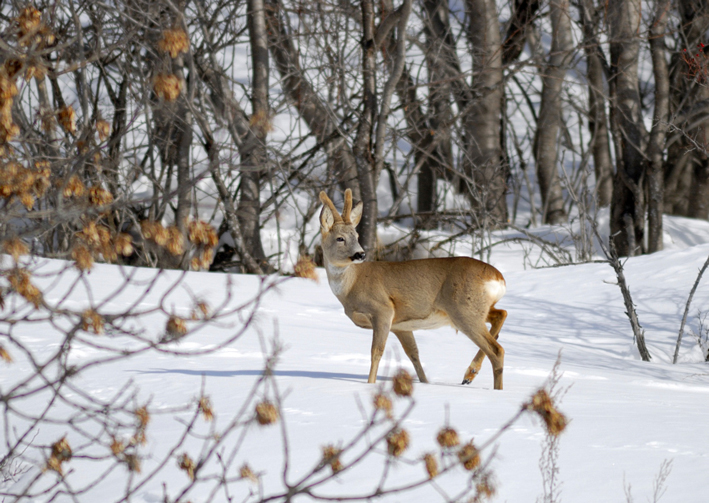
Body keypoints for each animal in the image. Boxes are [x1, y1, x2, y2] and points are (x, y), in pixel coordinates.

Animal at [318, 191, 506, 392]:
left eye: (357, 235)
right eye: (340, 238)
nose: (360, 254)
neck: (352, 284)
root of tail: (498, 278)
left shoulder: (383, 310)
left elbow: (376, 351)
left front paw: (370, 385)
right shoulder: (401, 326)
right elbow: (414, 354)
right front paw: (424, 382)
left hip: (464, 310)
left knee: (497, 350)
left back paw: (494, 389)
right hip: (475, 309)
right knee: (501, 314)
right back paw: (469, 374)